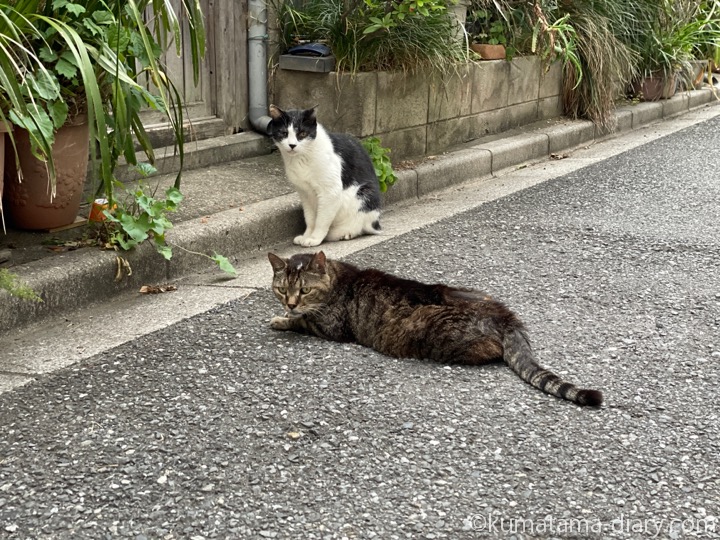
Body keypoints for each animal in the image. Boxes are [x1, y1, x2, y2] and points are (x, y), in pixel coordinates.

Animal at [268, 105, 382, 247]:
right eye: (284, 133)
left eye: (302, 134)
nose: (292, 145)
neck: (302, 158)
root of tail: (376, 224)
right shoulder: (305, 193)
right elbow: (310, 219)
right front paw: (306, 236)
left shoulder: (330, 192)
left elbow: (321, 221)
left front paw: (314, 238)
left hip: (364, 194)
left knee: (357, 224)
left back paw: (345, 233)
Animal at [268, 251, 600, 408]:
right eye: (281, 289)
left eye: (305, 291)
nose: (291, 302)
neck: (336, 279)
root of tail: (506, 316)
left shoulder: (330, 326)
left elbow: (301, 321)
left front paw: (281, 319)